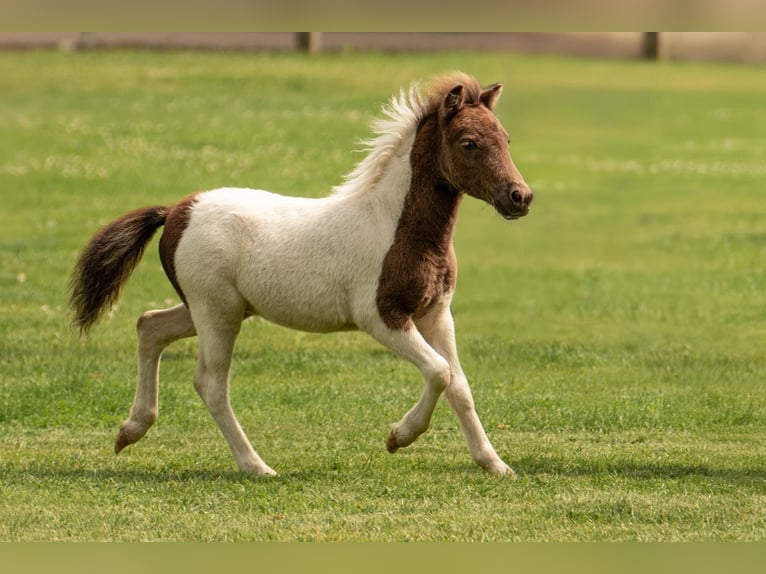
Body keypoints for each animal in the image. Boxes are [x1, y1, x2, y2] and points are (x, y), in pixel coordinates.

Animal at [70, 73, 536, 476]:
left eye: (506, 139)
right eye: (469, 143)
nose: (520, 196)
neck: (394, 225)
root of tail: (175, 212)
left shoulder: (436, 313)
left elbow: (459, 385)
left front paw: (495, 464)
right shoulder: (380, 317)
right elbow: (439, 371)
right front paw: (398, 437)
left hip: (214, 308)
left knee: (149, 326)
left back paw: (129, 431)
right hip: (216, 312)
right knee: (210, 382)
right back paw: (256, 466)